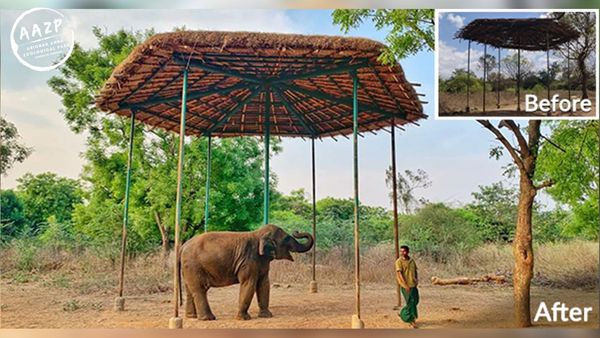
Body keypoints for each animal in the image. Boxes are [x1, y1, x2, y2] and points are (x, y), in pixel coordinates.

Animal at [180, 223, 314, 320]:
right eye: (286, 239)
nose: (296, 231)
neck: (258, 234)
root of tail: (183, 246)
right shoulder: (248, 261)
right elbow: (249, 283)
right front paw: (244, 318)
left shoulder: (262, 262)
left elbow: (264, 284)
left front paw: (267, 316)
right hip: (194, 266)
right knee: (200, 289)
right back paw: (208, 318)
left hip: (188, 268)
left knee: (190, 290)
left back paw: (191, 317)